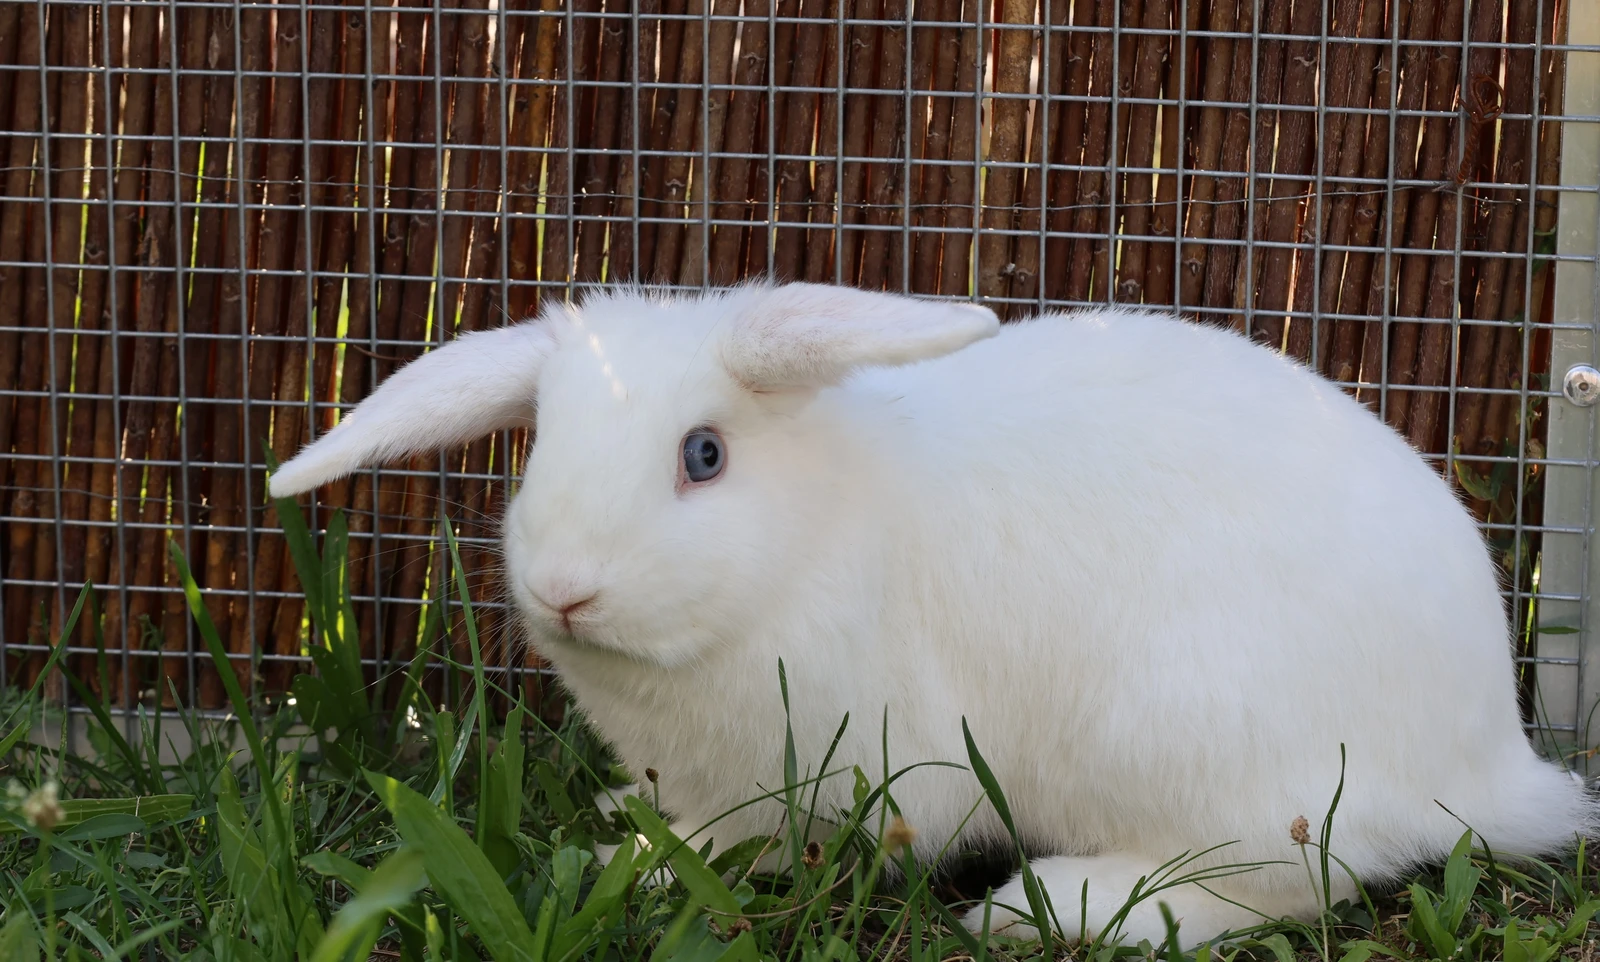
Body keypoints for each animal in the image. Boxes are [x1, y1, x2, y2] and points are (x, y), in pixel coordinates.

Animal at [269, 281, 1597, 948]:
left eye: (704, 454)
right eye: (541, 442)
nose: (563, 586)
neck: (808, 538)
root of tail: (1489, 761)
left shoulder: (855, 762)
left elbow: (751, 843)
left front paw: (625, 863)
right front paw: (622, 827)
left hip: (1202, 750)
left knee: (1288, 880)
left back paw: (1059, 907)